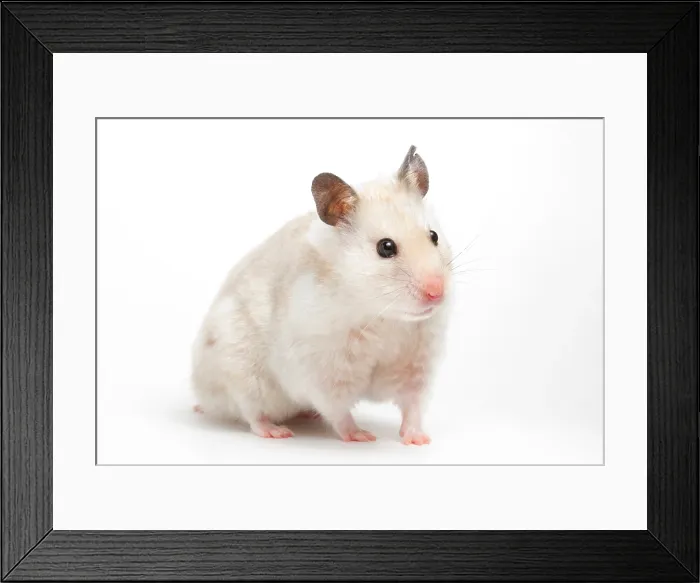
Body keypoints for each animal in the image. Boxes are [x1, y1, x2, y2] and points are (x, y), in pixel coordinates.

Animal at [191, 145, 453, 445]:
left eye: (433, 236)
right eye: (385, 247)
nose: (437, 293)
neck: (384, 316)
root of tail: (202, 393)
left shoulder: (417, 365)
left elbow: (413, 406)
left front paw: (419, 439)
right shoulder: (323, 371)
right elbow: (338, 412)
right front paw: (362, 437)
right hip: (241, 372)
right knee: (251, 413)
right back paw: (277, 431)